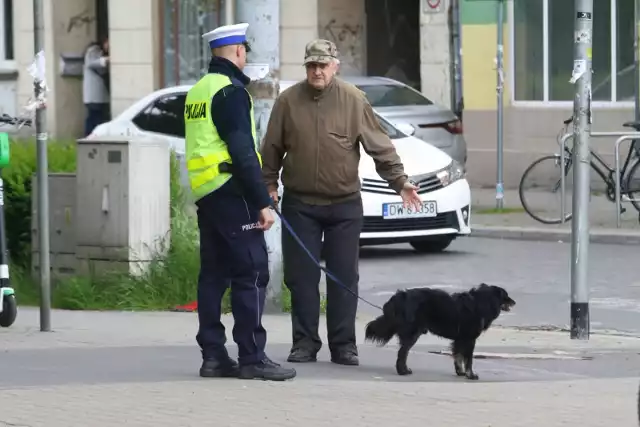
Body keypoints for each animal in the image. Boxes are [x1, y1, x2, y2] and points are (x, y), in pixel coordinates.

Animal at [364, 284, 516, 382]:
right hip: (413, 333)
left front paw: (460, 372)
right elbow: (468, 360)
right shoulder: (469, 339)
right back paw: (403, 371)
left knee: (403, 352)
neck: (481, 302)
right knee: (403, 353)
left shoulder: (459, 340)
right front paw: (470, 375)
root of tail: (400, 296)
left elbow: (458, 356)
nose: (514, 302)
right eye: (506, 296)